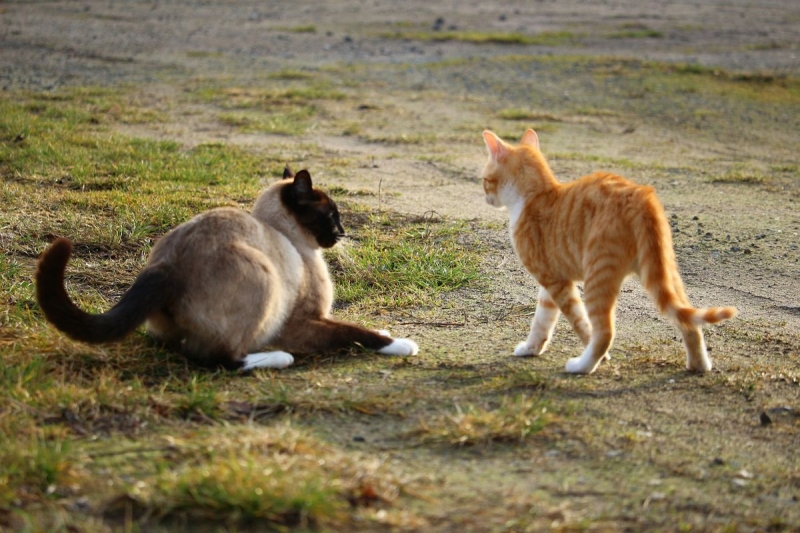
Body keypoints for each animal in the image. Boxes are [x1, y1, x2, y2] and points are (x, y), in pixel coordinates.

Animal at [36, 166, 418, 370]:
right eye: (331, 216)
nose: (342, 233)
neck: (291, 239)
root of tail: (165, 267)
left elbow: (356, 327)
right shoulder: (303, 324)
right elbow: (355, 333)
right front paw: (401, 344)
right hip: (263, 276)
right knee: (223, 359)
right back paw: (277, 357)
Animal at [482, 127, 736, 372]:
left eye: (484, 180)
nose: (485, 198)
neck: (534, 196)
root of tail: (640, 195)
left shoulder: (556, 283)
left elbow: (579, 322)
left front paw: (601, 358)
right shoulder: (553, 280)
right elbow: (542, 320)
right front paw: (531, 348)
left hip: (598, 275)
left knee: (605, 333)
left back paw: (582, 366)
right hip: (662, 269)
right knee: (689, 322)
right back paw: (699, 366)